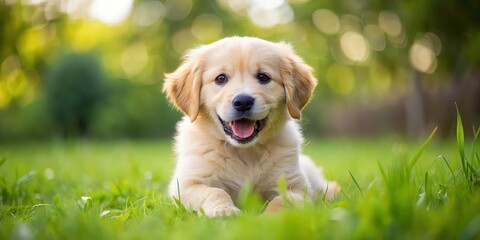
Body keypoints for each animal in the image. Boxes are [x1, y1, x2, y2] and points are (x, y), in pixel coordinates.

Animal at [163, 36, 340, 218]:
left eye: (263, 77)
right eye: (221, 78)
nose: (243, 102)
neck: (245, 152)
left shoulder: (296, 187)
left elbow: (283, 200)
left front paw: (271, 217)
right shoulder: (187, 184)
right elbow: (215, 191)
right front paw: (224, 211)